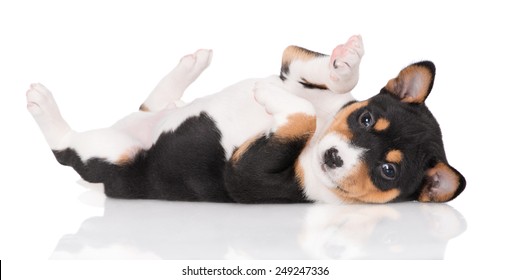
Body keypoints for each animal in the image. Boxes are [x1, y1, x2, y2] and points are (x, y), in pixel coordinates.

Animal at [26, 36, 464, 205]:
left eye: (388, 170)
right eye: (367, 118)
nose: (335, 157)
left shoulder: (242, 175)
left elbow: (301, 115)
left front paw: (268, 96)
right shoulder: (295, 73)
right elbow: (330, 79)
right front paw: (346, 59)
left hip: (110, 154)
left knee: (65, 150)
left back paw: (42, 105)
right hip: (145, 121)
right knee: (153, 104)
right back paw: (191, 66)